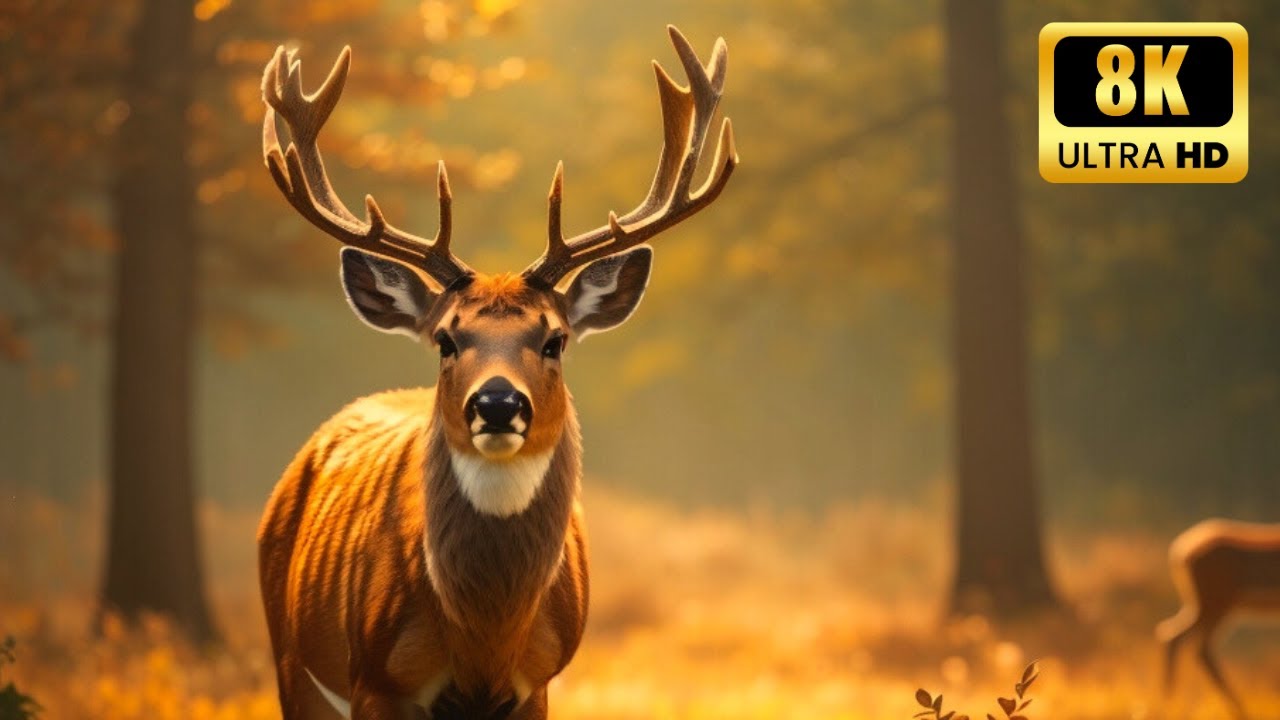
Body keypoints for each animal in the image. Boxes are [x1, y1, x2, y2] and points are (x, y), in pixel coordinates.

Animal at [254, 25, 736, 720]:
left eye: (555, 339)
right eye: (445, 339)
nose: (499, 404)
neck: (484, 643)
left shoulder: (539, 683)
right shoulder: (375, 681)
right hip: (291, 658)